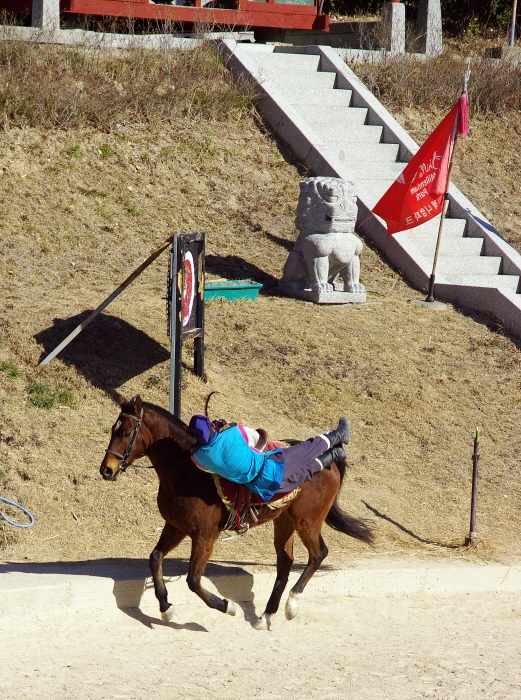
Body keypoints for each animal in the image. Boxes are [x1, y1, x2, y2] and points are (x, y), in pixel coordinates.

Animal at [98, 394, 374, 628]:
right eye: (113, 429)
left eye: (125, 432)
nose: (106, 469)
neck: (186, 469)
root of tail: (331, 466)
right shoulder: (176, 527)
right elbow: (155, 558)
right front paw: (166, 606)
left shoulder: (204, 536)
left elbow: (193, 580)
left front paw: (225, 605)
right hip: (284, 520)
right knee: (285, 562)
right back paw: (267, 614)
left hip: (307, 519)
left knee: (318, 554)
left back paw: (291, 603)